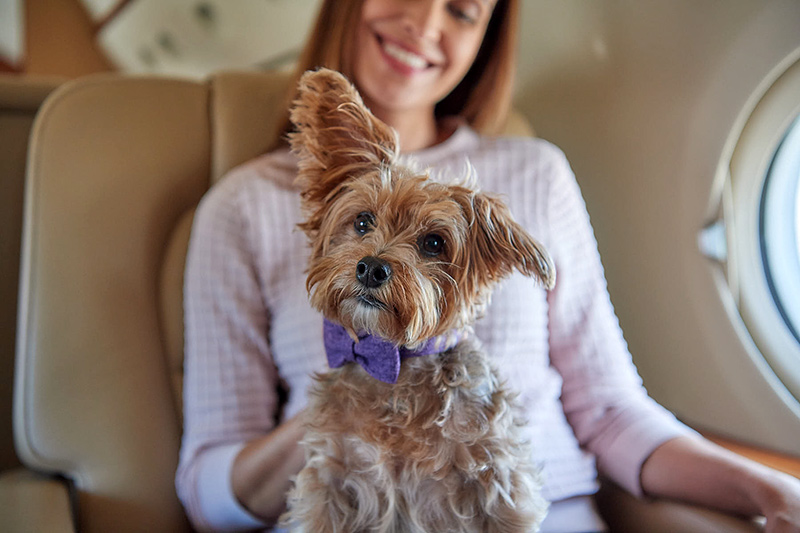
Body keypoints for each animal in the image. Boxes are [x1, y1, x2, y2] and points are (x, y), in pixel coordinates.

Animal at [282, 68, 556, 528]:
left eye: (434, 243)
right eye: (363, 221)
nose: (371, 268)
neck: (394, 367)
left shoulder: (498, 488)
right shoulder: (332, 482)